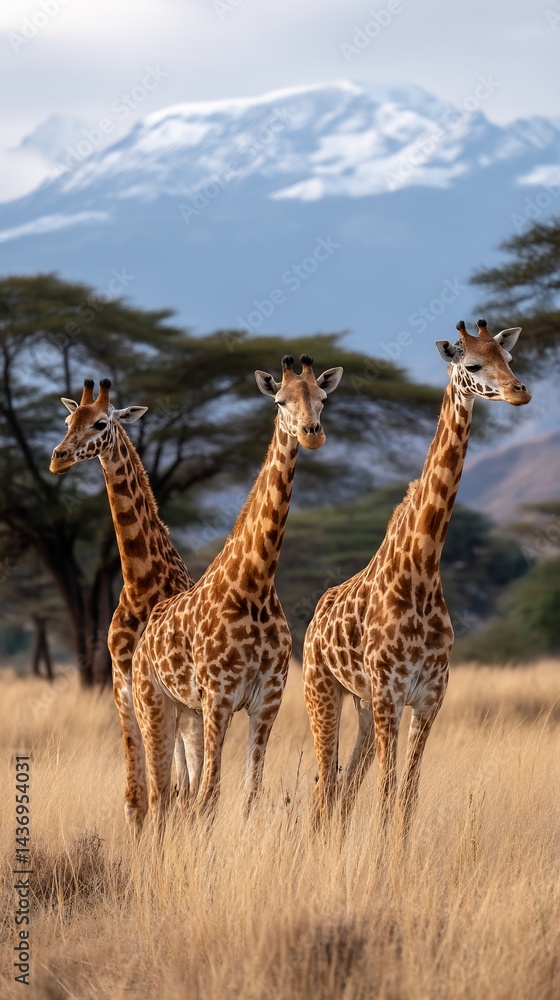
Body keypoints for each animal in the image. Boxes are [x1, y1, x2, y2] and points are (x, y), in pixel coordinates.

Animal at [50, 377, 195, 826]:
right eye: (68, 420)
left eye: (101, 423)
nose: (58, 459)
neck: (139, 583)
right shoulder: (121, 680)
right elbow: (136, 797)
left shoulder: (155, 688)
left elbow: (162, 787)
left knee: (186, 781)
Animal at [130, 354, 343, 833]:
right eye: (280, 401)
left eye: (323, 398)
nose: (312, 433)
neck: (255, 587)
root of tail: (146, 633)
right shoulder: (219, 697)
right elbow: (211, 794)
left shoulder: (267, 699)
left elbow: (248, 793)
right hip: (153, 701)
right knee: (159, 793)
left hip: (188, 712)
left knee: (179, 792)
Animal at [303, 320, 531, 831]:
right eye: (473, 365)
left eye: (508, 358)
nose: (520, 392)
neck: (422, 574)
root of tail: (311, 622)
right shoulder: (391, 694)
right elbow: (388, 794)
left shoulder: (428, 697)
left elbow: (407, 797)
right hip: (322, 690)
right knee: (325, 788)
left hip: (363, 704)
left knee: (344, 789)